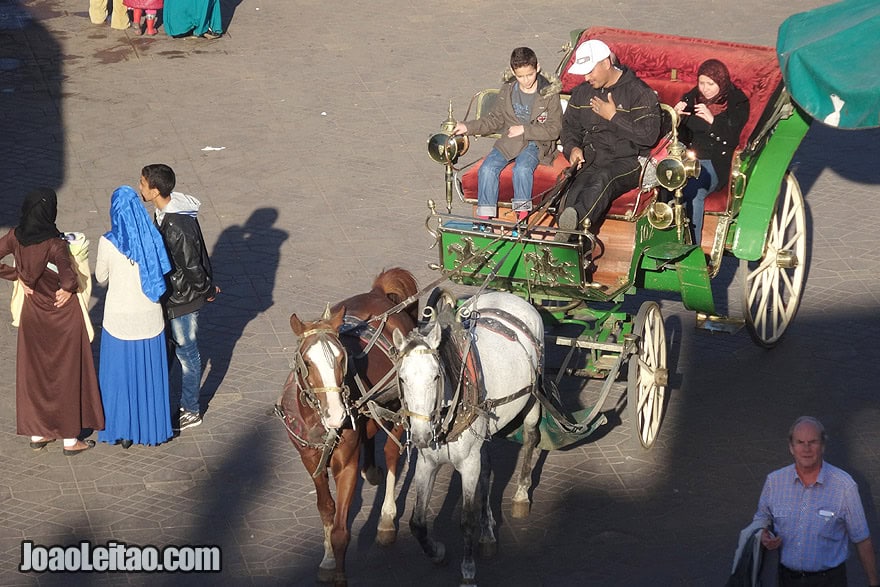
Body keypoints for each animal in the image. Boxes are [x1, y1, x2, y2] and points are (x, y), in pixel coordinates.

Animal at [282, 268, 420, 584]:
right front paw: (328, 560)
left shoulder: (346, 464)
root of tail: (378, 293)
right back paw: (371, 469)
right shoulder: (310, 461)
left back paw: (386, 520)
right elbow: (326, 510)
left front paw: (340, 574)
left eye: (342, 357)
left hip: (398, 405)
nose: (336, 414)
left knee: (392, 456)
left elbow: (341, 530)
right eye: (307, 361)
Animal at [394, 290, 544, 587]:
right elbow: (417, 522)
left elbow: (466, 520)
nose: (420, 436)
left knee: (531, 437)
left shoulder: (468, 464)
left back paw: (521, 495)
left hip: (532, 399)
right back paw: (487, 534)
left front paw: (468, 571)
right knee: (487, 468)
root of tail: (511, 296)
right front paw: (438, 553)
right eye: (402, 379)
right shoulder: (426, 463)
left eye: (436, 376)